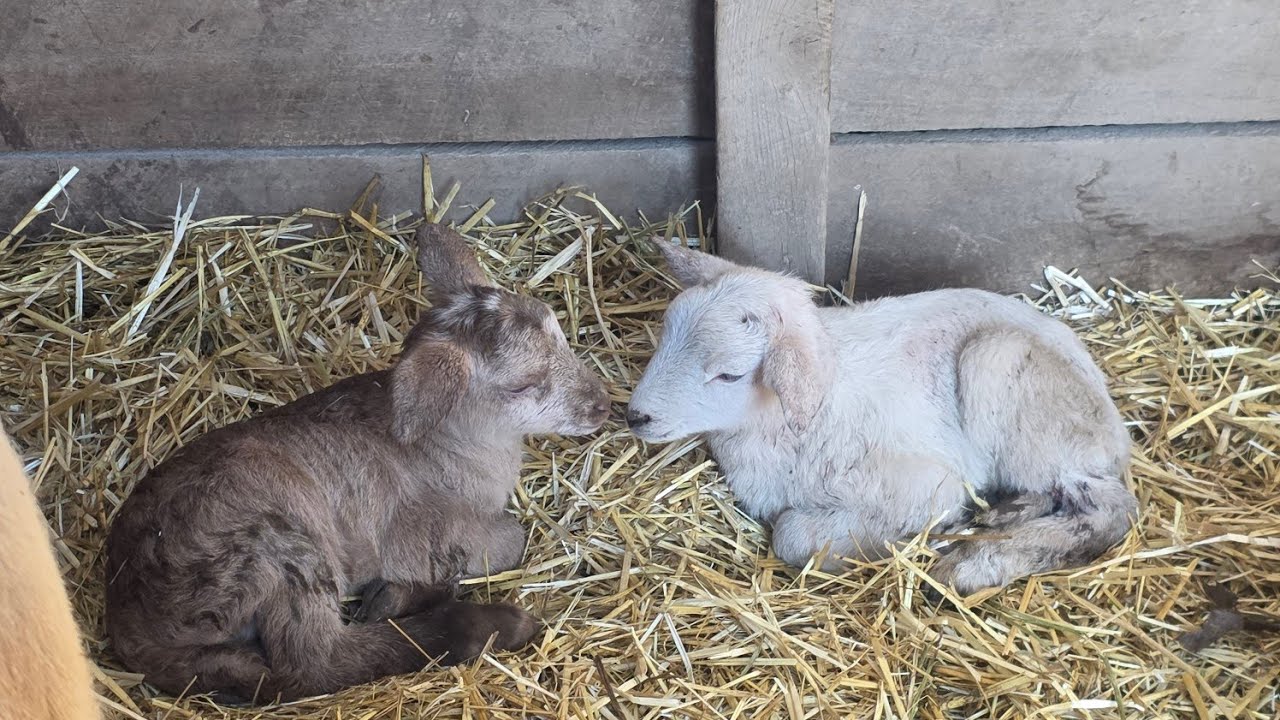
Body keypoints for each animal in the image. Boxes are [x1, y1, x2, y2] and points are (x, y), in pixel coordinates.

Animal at [105, 224, 611, 704]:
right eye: (524, 384)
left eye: (560, 334)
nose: (602, 406)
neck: (455, 447)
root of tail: (130, 621)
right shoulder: (417, 532)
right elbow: (512, 539)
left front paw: (396, 594)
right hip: (277, 539)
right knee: (316, 660)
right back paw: (482, 625)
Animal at [626, 241, 1136, 595]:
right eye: (665, 334)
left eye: (729, 374)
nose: (635, 416)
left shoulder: (929, 485)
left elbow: (789, 534)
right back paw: (1005, 513)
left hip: (1005, 367)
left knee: (1110, 510)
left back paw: (974, 564)